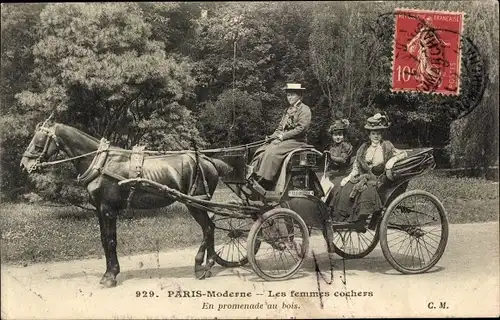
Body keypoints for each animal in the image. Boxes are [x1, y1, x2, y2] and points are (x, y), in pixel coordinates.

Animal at [17, 120, 232, 288]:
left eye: (38, 141)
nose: (24, 165)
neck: (101, 163)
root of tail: (208, 160)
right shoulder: (99, 210)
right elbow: (104, 241)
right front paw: (109, 273)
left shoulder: (108, 210)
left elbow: (111, 241)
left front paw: (110, 276)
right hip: (199, 204)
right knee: (211, 227)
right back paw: (209, 264)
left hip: (194, 204)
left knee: (208, 228)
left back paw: (201, 265)